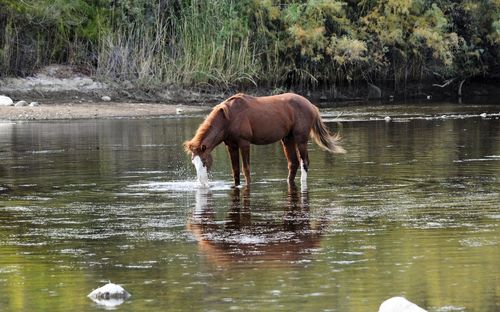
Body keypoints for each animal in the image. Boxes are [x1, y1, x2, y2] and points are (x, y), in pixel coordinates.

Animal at [184, 92, 344, 185]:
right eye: (193, 162)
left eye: (204, 161)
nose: (202, 184)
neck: (229, 118)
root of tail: (311, 105)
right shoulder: (231, 145)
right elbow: (235, 170)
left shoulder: (244, 143)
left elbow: (246, 169)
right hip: (287, 139)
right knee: (293, 163)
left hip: (301, 140)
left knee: (304, 162)